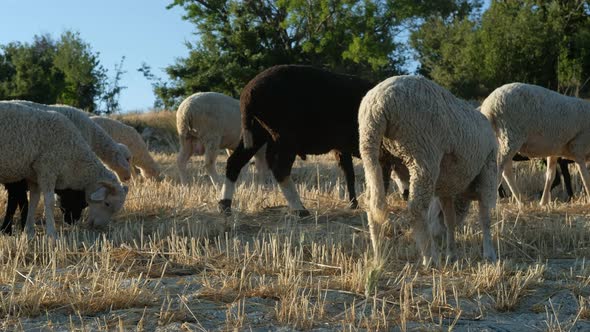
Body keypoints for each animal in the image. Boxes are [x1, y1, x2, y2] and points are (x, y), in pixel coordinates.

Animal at [0, 102, 128, 239]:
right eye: (107, 203)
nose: (99, 226)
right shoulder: (47, 169)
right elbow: (49, 202)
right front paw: (52, 234)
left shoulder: (34, 175)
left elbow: (34, 201)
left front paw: (29, 232)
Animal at [217, 65, 398, 217]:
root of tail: (247, 95)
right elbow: (380, 174)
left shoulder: (341, 148)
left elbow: (350, 173)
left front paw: (353, 204)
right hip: (285, 137)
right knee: (280, 170)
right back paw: (300, 210)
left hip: (256, 132)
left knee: (234, 162)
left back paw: (225, 206)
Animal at [360, 75, 500, 264]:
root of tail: (377, 106)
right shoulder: (488, 171)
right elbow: (485, 216)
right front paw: (489, 253)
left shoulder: (446, 187)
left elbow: (449, 220)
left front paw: (451, 253)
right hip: (423, 154)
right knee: (417, 208)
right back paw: (430, 258)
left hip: (376, 155)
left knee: (373, 204)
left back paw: (379, 254)